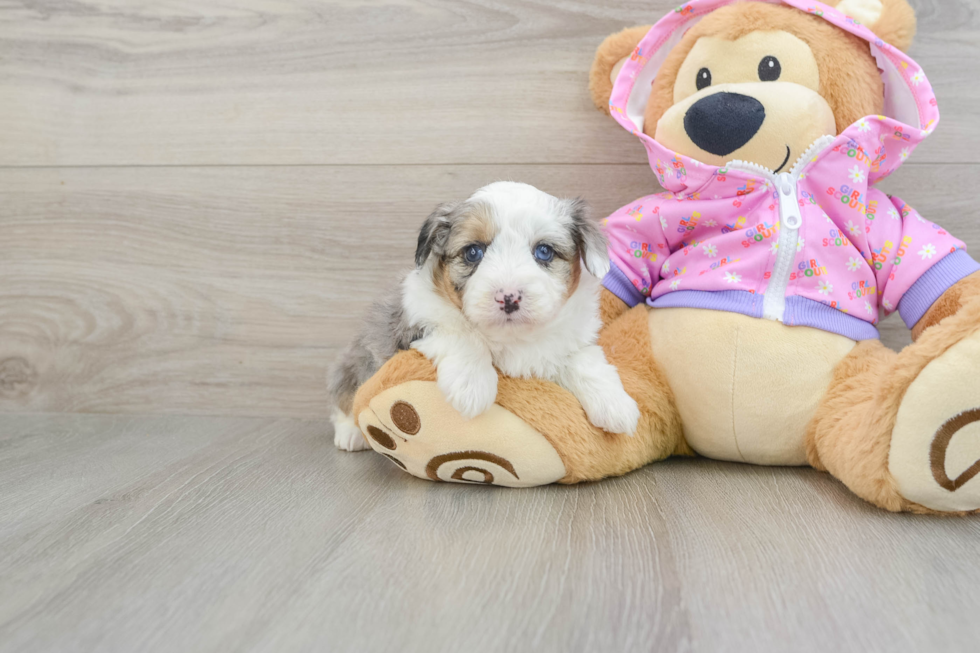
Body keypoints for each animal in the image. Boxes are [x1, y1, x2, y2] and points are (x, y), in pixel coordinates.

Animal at [330, 181, 640, 450]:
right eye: (473, 252)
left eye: (544, 251)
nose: (509, 297)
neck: (511, 336)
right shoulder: (416, 319)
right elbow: (460, 333)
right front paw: (472, 386)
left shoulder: (573, 338)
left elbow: (586, 361)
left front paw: (616, 405)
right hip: (355, 363)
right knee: (347, 398)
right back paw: (350, 434)